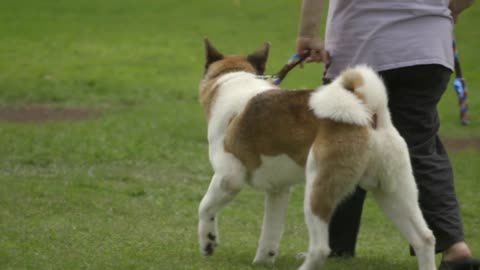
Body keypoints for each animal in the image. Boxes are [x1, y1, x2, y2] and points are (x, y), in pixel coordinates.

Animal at [197, 38, 436, 270]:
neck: (232, 79)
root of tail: (369, 116)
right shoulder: (278, 191)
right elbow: (270, 232)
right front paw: (263, 261)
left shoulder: (229, 177)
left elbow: (205, 207)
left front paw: (208, 241)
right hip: (394, 192)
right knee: (424, 238)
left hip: (317, 190)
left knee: (320, 249)